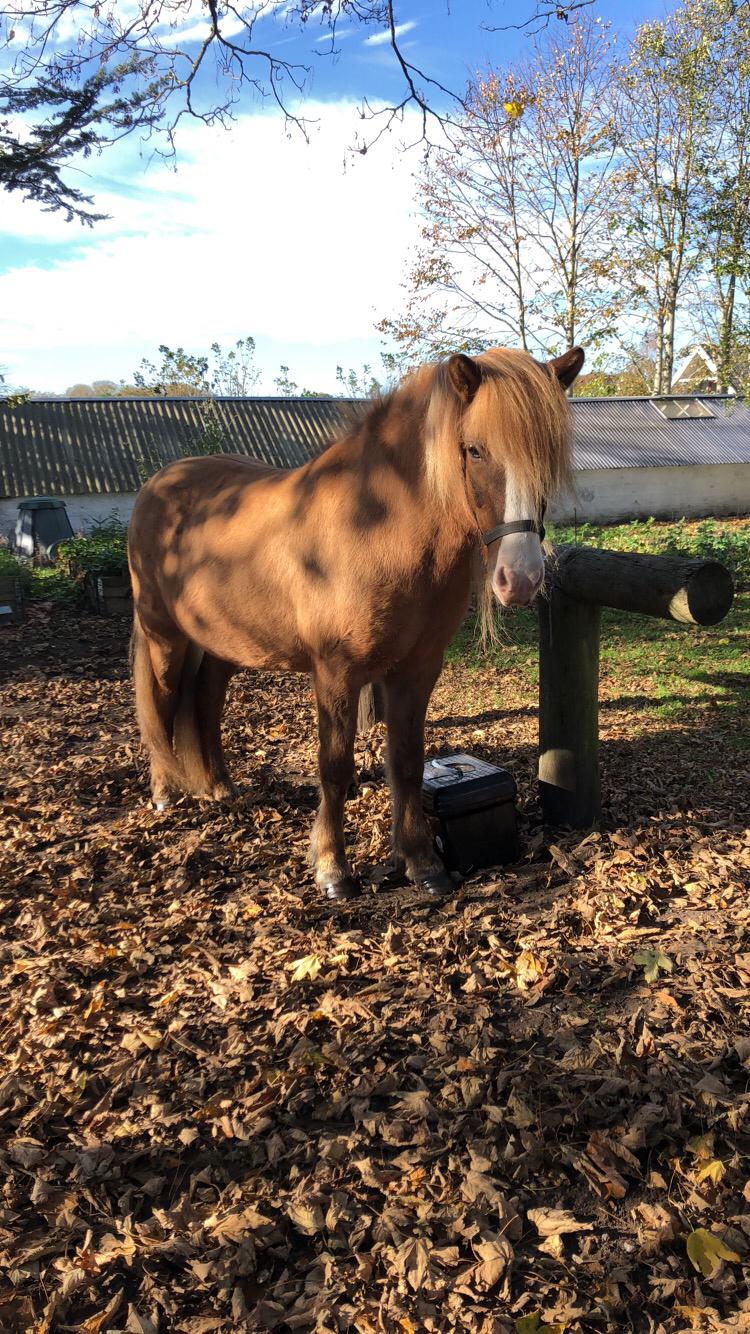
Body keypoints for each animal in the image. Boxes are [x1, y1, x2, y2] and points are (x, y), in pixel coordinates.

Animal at [128, 349, 581, 901]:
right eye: (474, 450)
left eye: (549, 459)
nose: (521, 580)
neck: (376, 526)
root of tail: (158, 484)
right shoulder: (336, 673)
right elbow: (335, 766)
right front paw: (333, 870)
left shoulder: (416, 670)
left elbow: (406, 760)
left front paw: (421, 863)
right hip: (164, 637)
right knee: (162, 702)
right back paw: (165, 793)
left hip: (221, 645)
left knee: (206, 703)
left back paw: (219, 787)